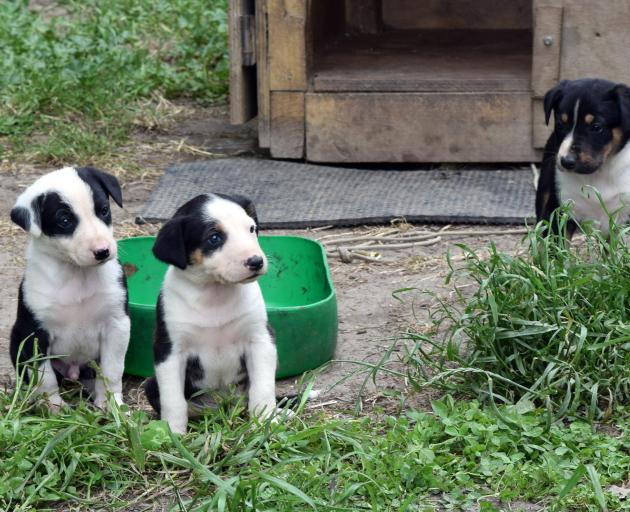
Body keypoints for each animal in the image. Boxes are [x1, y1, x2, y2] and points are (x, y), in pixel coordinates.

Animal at [9, 168, 131, 412]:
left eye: (104, 210)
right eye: (64, 220)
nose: (103, 251)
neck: (77, 274)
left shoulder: (117, 325)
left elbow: (112, 370)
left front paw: (112, 405)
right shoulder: (35, 334)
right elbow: (45, 378)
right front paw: (54, 408)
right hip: (15, 340)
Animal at [146, 194, 278, 434]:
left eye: (251, 228)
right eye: (214, 238)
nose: (256, 261)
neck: (216, 293)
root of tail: (220, 408)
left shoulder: (261, 340)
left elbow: (262, 389)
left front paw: (266, 424)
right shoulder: (169, 350)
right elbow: (173, 400)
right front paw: (173, 433)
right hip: (151, 384)